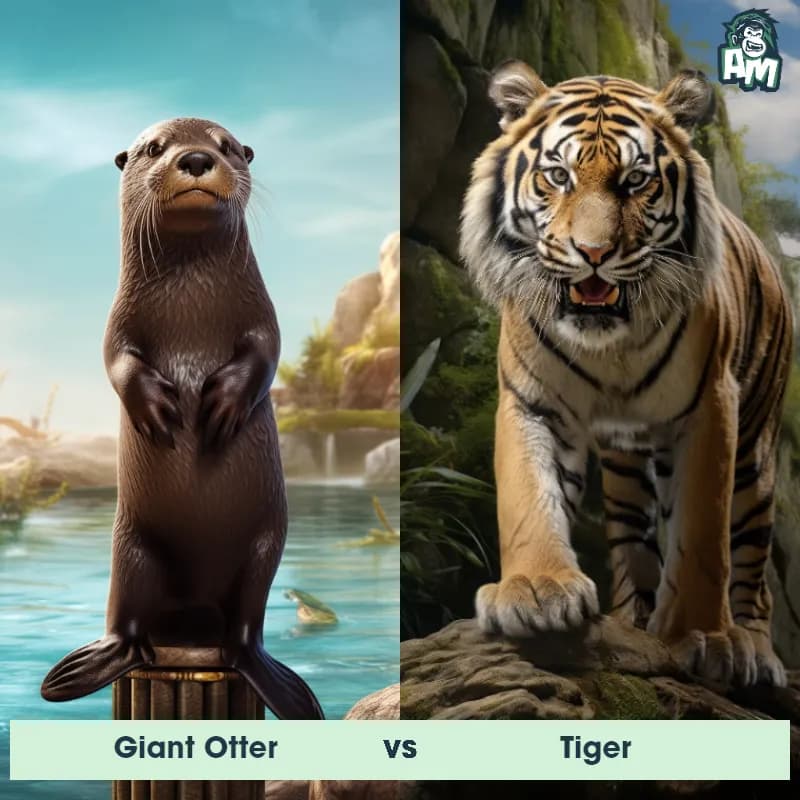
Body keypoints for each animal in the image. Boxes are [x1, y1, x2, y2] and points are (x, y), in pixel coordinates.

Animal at [40, 117, 324, 720]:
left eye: (227, 146)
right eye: (153, 148)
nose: (194, 158)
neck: (191, 308)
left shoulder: (264, 317)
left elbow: (266, 353)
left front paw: (221, 404)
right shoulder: (117, 323)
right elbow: (117, 362)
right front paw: (159, 409)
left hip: (264, 546)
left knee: (246, 628)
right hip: (133, 549)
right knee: (127, 621)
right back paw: (92, 664)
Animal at [459, 61, 793, 688]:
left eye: (636, 181)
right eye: (558, 176)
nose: (592, 253)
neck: (606, 345)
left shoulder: (710, 408)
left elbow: (703, 534)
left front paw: (704, 635)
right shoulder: (533, 401)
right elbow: (527, 496)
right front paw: (535, 591)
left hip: (756, 457)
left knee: (752, 566)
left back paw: (756, 650)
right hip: (626, 469)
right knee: (634, 544)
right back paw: (634, 620)